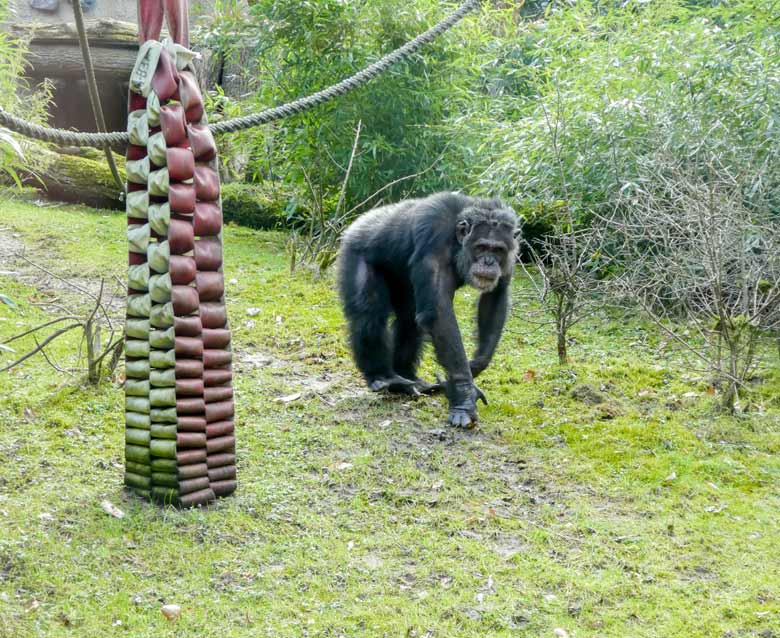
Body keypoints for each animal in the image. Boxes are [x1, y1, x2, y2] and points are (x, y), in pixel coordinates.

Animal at [336, 192, 516, 428]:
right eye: (482, 247)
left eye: (498, 250)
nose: (488, 261)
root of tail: (359, 220)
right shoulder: (434, 235)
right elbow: (439, 313)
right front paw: (464, 394)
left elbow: (495, 297)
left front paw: (474, 365)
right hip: (356, 250)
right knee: (369, 313)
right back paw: (384, 377)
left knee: (409, 321)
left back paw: (408, 377)